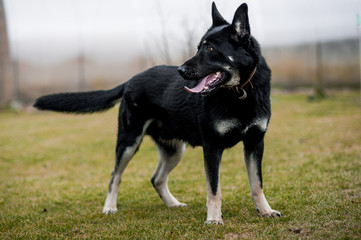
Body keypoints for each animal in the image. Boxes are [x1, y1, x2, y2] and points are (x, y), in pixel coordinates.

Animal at [33, 1, 282, 224]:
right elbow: (214, 189)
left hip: (174, 149)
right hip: (129, 141)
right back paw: (109, 208)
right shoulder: (212, 147)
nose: (181, 70)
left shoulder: (255, 144)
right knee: (115, 176)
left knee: (157, 179)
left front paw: (265, 211)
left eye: (210, 48)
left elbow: (256, 184)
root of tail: (130, 80)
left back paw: (173, 204)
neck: (240, 92)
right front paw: (213, 219)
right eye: (199, 47)